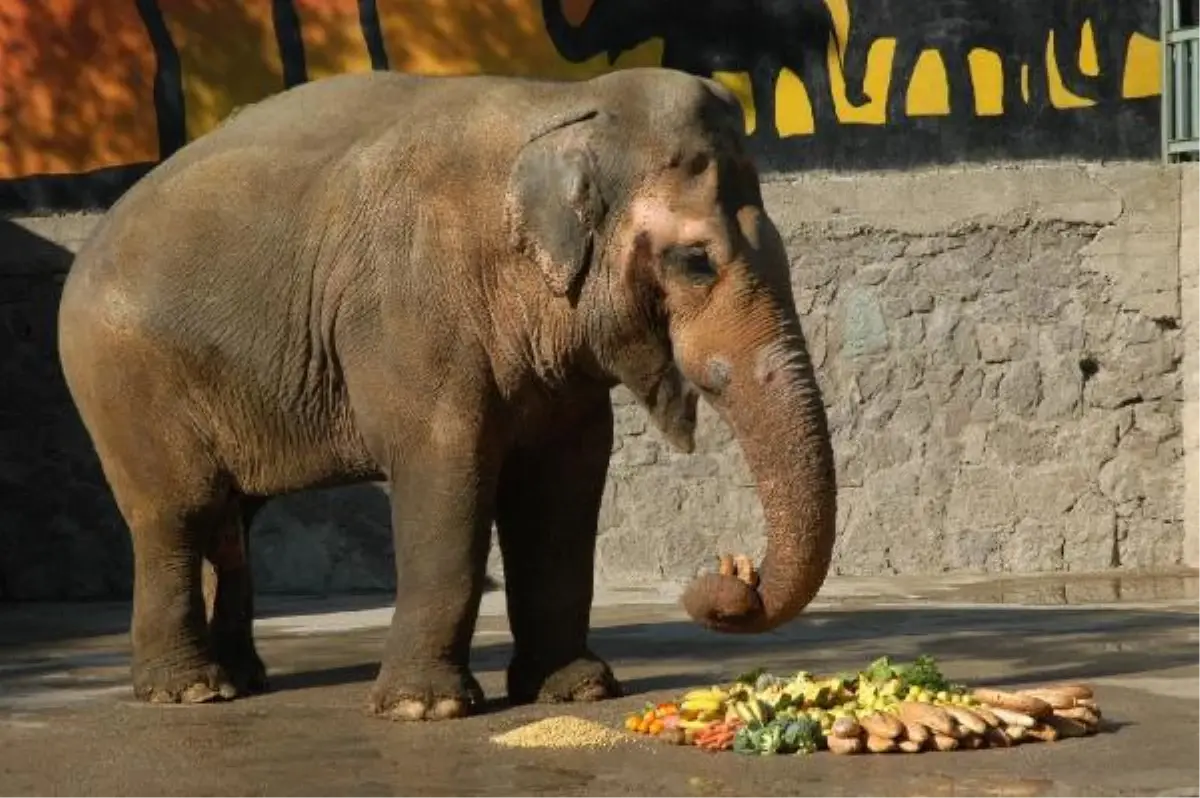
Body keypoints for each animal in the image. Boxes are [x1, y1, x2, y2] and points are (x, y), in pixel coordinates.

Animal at [56, 65, 840, 720]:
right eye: (695, 261)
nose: (727, 577)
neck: (563, 104)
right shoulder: (412, 313)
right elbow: (446, 474)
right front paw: (424, 710)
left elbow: (562, 487)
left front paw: (577, 691)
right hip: (124, 380)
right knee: (177, 513)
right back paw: (190, 692)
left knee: (234, 517)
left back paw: (243, 680)